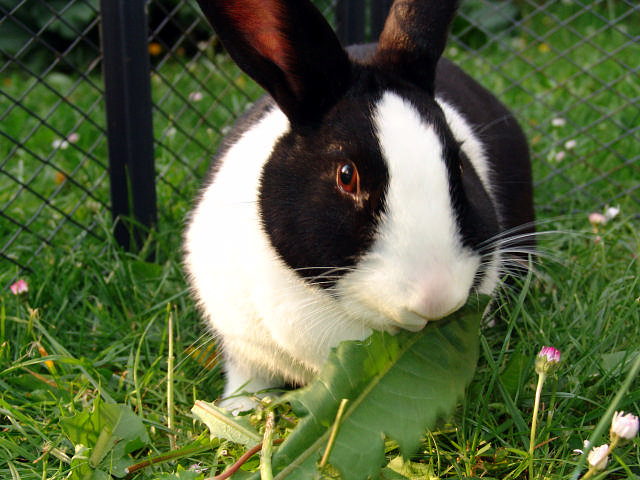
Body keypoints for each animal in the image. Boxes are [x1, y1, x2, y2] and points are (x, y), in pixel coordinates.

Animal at [184, 0, 535, 412]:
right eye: (346, 175)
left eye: (459, 164)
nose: (437, 297)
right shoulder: (241, 345)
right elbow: (246, 380)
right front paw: (236, 411)